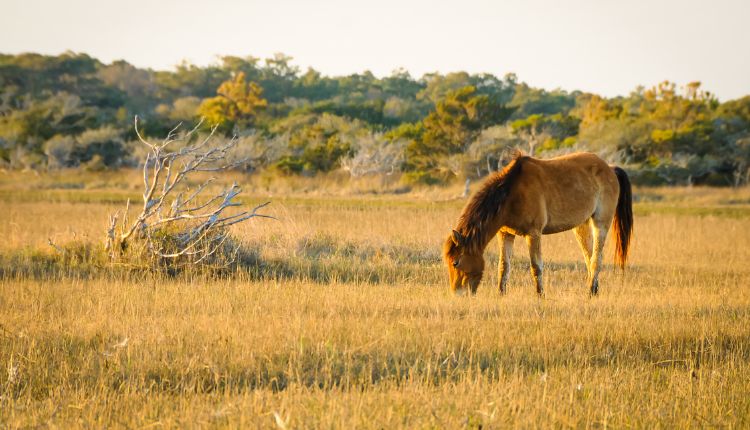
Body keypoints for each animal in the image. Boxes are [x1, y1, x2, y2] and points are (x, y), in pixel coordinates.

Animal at [446, 153, 636, 298]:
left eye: (456, 262)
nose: (457, 294)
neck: (512, 194)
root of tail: (610, 168)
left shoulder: (533, 234)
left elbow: (536, 266)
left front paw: (540, 295)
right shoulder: (505, 233)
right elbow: (503, 266)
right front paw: (500, 294)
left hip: (601, 223)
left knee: (596, 259)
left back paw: (590, 293)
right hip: (581, 226)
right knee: (589, 257)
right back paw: (594, 290)